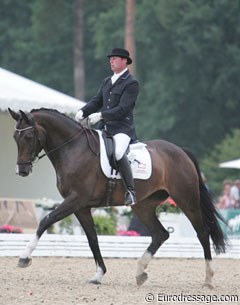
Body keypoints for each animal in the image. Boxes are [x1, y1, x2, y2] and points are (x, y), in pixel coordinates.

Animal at [7, 107, 227, 288]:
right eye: (15, 137)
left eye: (28, 137)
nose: (22, 171)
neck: (73, 149)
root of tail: (180, 151)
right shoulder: (81, 207)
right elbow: (92, 239)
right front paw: (98, 275)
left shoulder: (76, 200)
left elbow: (46, 220)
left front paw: (24, 257)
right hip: (143, 206)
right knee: (160, 234)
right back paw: (140, 273)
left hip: (186, 200)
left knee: (202, 232)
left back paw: (208, 279)